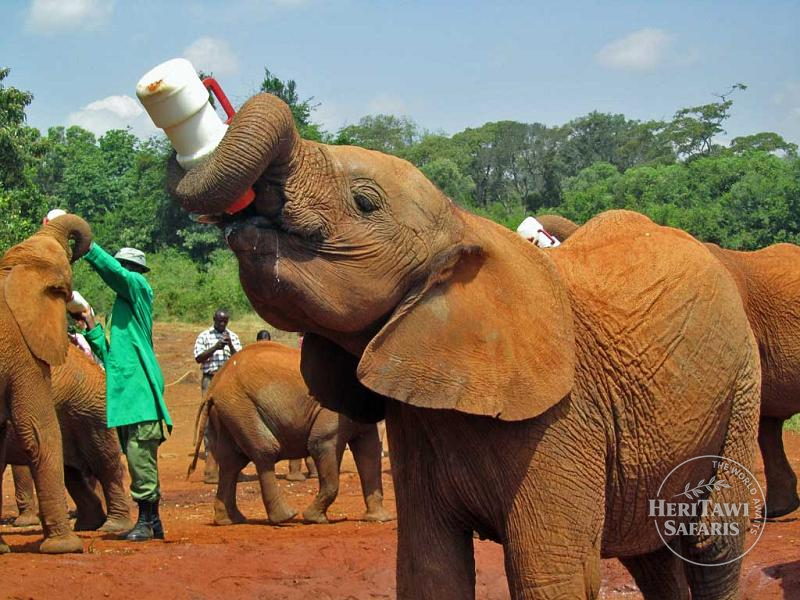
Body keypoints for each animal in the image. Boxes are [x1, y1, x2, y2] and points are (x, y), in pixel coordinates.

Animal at [188, 340, 391, 525]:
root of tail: (214, 385)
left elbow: (369, 453)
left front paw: (380, 519)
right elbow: (321, 444)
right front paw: (315, 519)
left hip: (229, 412)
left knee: (231, 462)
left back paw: (230, 520)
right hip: (240, 407)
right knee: (265, 450)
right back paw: (285, 518)